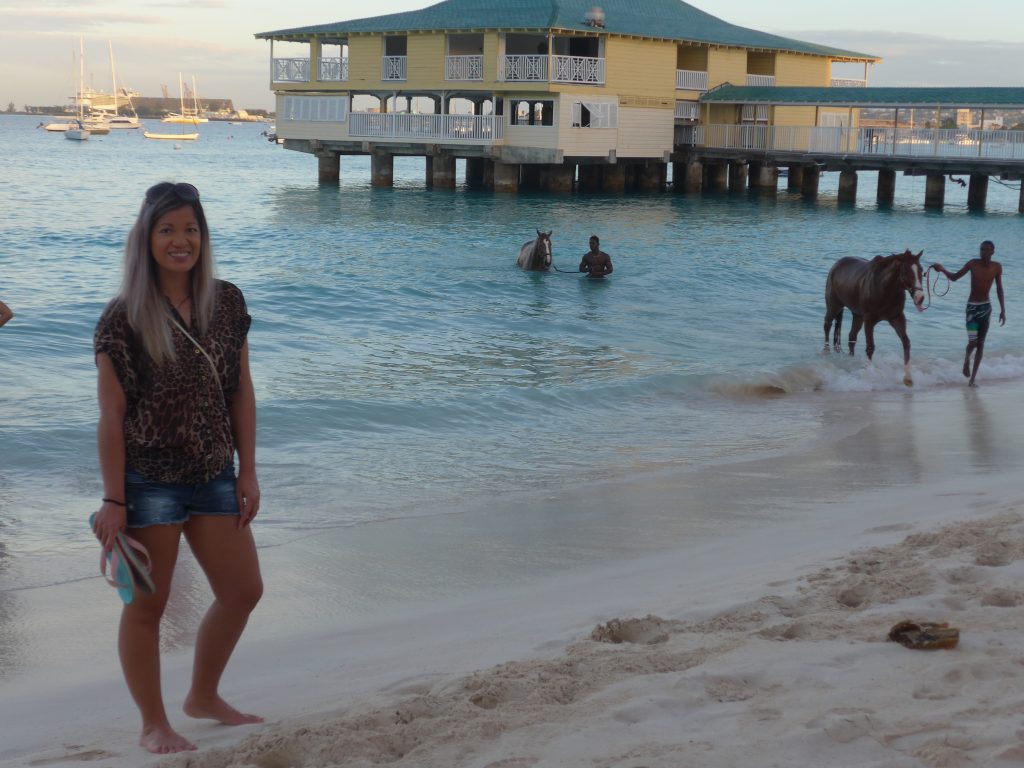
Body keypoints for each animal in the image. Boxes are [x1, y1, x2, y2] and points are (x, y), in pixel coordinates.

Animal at [823, 249, 929, 387]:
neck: (884, 288)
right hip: (834, 307)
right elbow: (870, 347)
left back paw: (851, 359)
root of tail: (836, 265)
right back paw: (826, 351)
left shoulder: (897, 318)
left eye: (921, 271)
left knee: (852, 337)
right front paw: (869, 373)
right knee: (827, 325)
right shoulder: (869, 320)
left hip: (857, 315)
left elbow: (906, 343)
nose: (920, 298)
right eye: (906, 271)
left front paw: (908, 378)